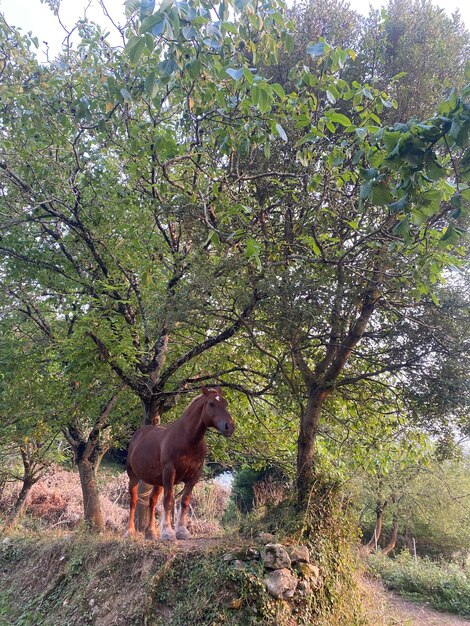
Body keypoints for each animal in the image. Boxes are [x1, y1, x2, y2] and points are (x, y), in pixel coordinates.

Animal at [126, 382, 234, 540]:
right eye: (211, 403)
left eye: (226, 403)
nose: (229, 427)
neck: (188, 440)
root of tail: (139, 433)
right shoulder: (170, 472)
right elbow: (168, 500)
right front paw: (168, 532)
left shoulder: (194, 477)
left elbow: (185, 501)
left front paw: (182, 531)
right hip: (134, 476)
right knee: (133, 501)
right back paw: (130, 531)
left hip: (158, 481)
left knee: (152, 501)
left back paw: (151, 532)